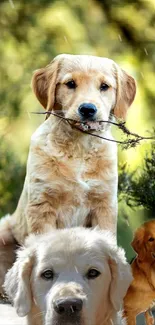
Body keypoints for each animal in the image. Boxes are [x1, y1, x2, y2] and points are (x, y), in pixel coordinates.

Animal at [6, 53, 136, 243]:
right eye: (70, 84)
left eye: (104, 86)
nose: (88, 109)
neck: (79, 147)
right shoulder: (41, 207)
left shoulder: (104, 206)